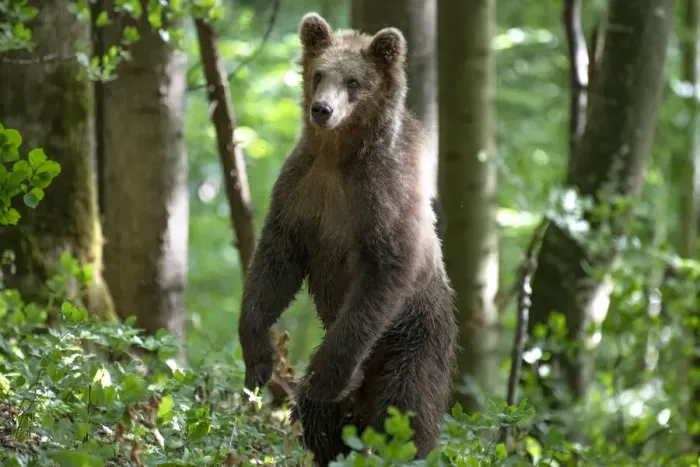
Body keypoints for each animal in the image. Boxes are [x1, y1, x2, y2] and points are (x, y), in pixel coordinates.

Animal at [237, 12, 458, 466]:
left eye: (354, 81)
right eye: (319, 73)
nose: (322, 109)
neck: (339, 158)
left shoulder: (383, 201)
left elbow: (380, 278)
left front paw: (324, 378)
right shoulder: (300, 193)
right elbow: (274, 265)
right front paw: (258, 356)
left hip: (413, 340)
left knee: (403, 413)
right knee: (326, 422)